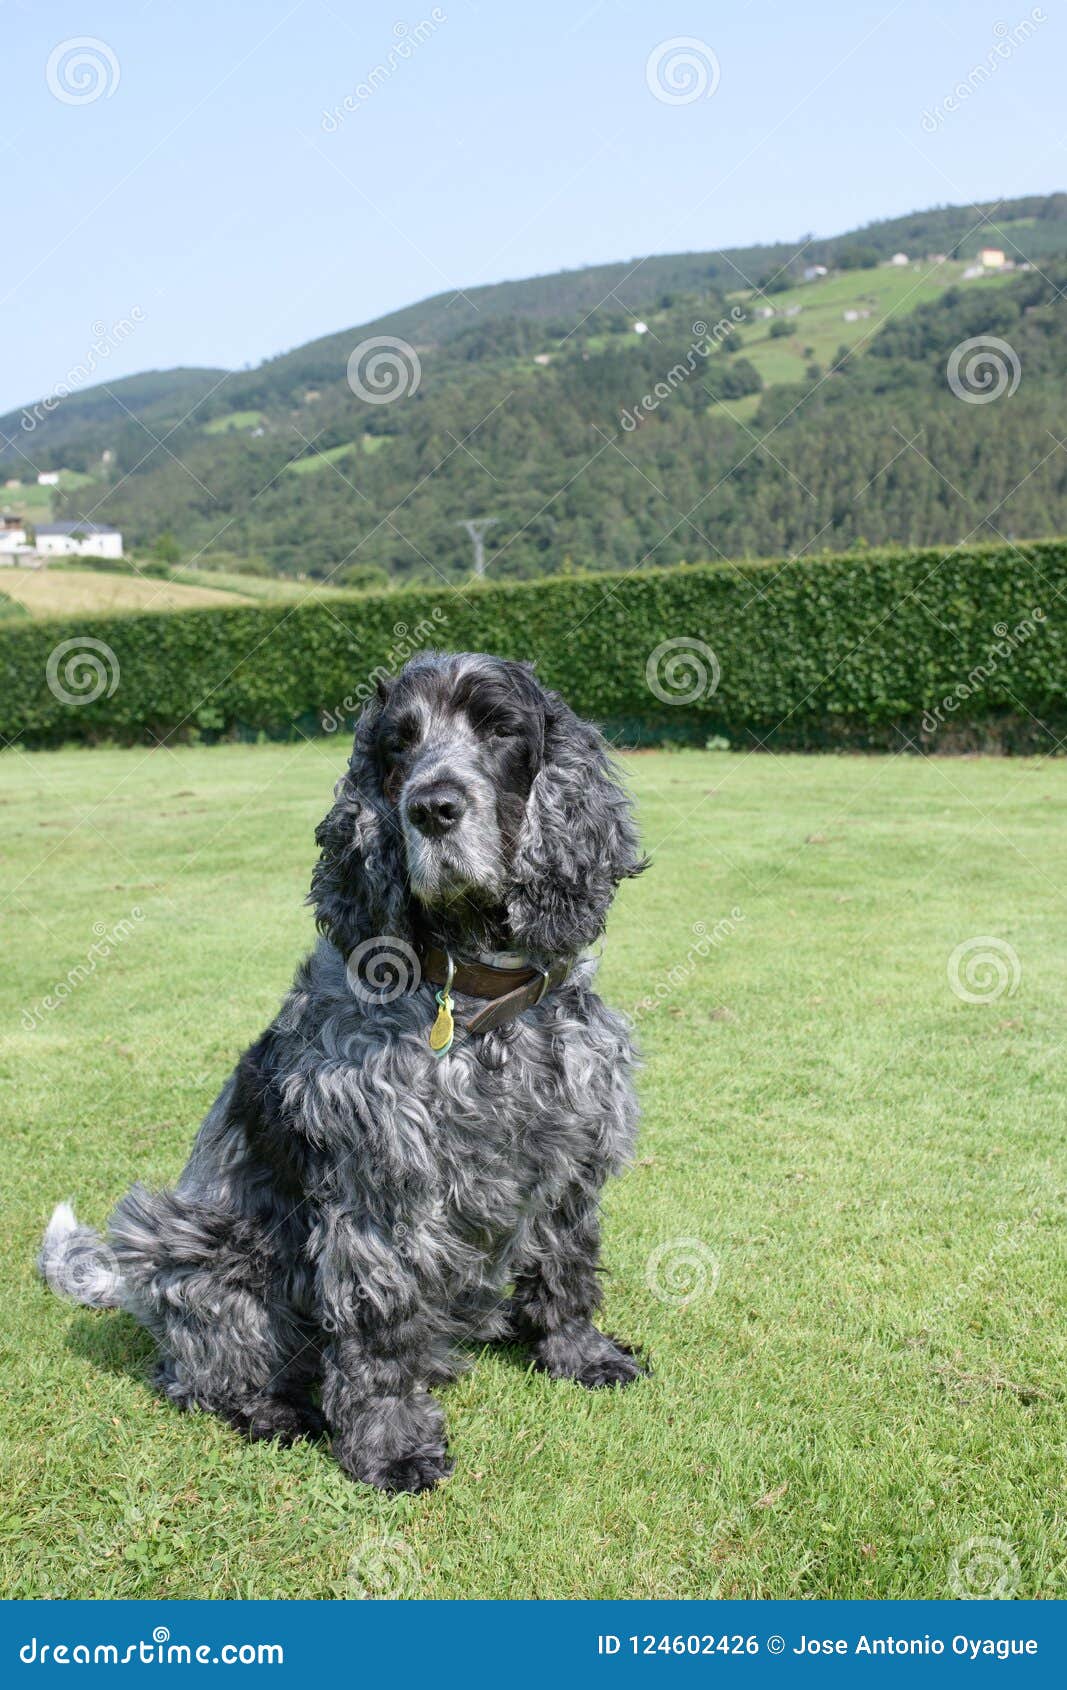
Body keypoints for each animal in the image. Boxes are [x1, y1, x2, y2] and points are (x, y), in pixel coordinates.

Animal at [41, 645, 645, 1493]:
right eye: (397, 745)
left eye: (500, 730)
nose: (433, 807)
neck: (474, 998)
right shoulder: (380, 1192)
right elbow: (379, 1332)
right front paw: (391, 1448)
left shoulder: (572, 1156)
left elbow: (565, 1270)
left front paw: (580, 1356)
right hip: (186, 1243)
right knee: (196, 1373)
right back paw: (273, 1411)